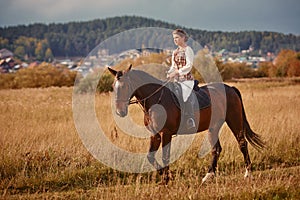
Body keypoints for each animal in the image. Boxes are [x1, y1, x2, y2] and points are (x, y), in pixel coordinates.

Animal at [108, 65, 264, 184]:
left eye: (125, 85)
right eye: (113, 86)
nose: (120, 111)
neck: (156, 100)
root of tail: (231, 89)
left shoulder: (166, 133)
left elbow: (165, 157)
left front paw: (167, 179)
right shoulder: (155, 134)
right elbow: (150, 157)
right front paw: (164, 176)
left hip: (234, 120)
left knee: (242, 143)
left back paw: (248, 174)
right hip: (213, 127)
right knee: (216, 149)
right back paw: (208, 176)